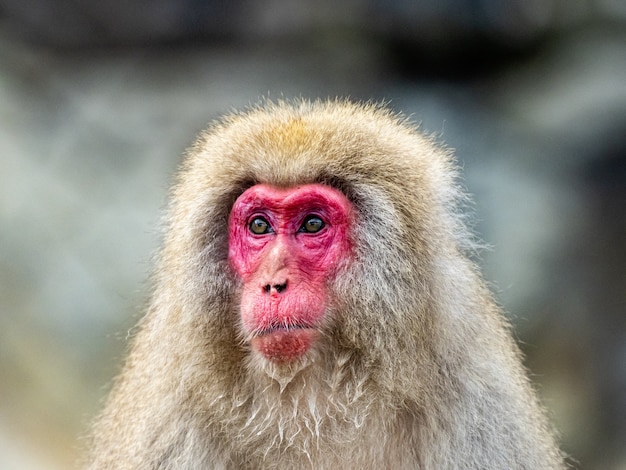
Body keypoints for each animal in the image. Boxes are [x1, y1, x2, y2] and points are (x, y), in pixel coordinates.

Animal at [85, 98, 564, 466]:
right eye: (259, 226)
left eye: (312, 224)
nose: (273, 284)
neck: (311, 406)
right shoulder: (169, 413)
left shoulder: (477, 396)